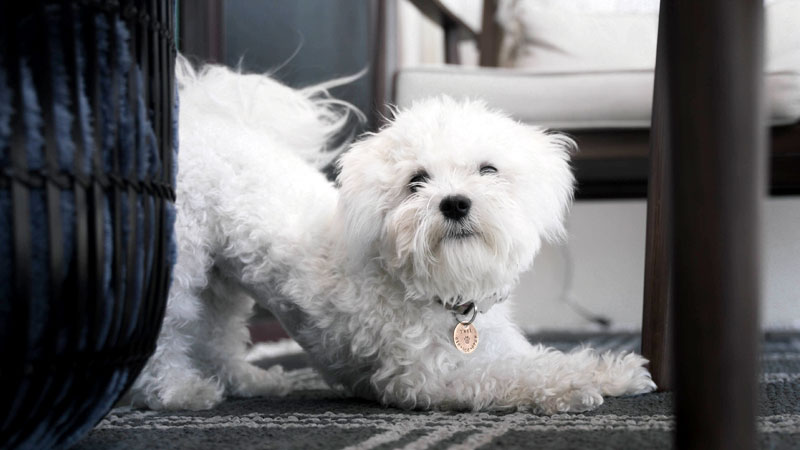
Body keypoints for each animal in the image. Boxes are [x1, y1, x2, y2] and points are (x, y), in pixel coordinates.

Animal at [130, 63, 656, 414]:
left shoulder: (500, 346)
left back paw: (252, 381)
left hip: (223, 278)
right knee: (166, 336)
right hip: (180, 268)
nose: (455, 203)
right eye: (417, 180)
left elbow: (541, 359)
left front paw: (613, 370)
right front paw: (571, 387)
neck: (443, 294)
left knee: (218, 334)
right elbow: (508, 377)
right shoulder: (425, 378)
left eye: (488, 169)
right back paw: (179, 393)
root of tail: (197, 121)